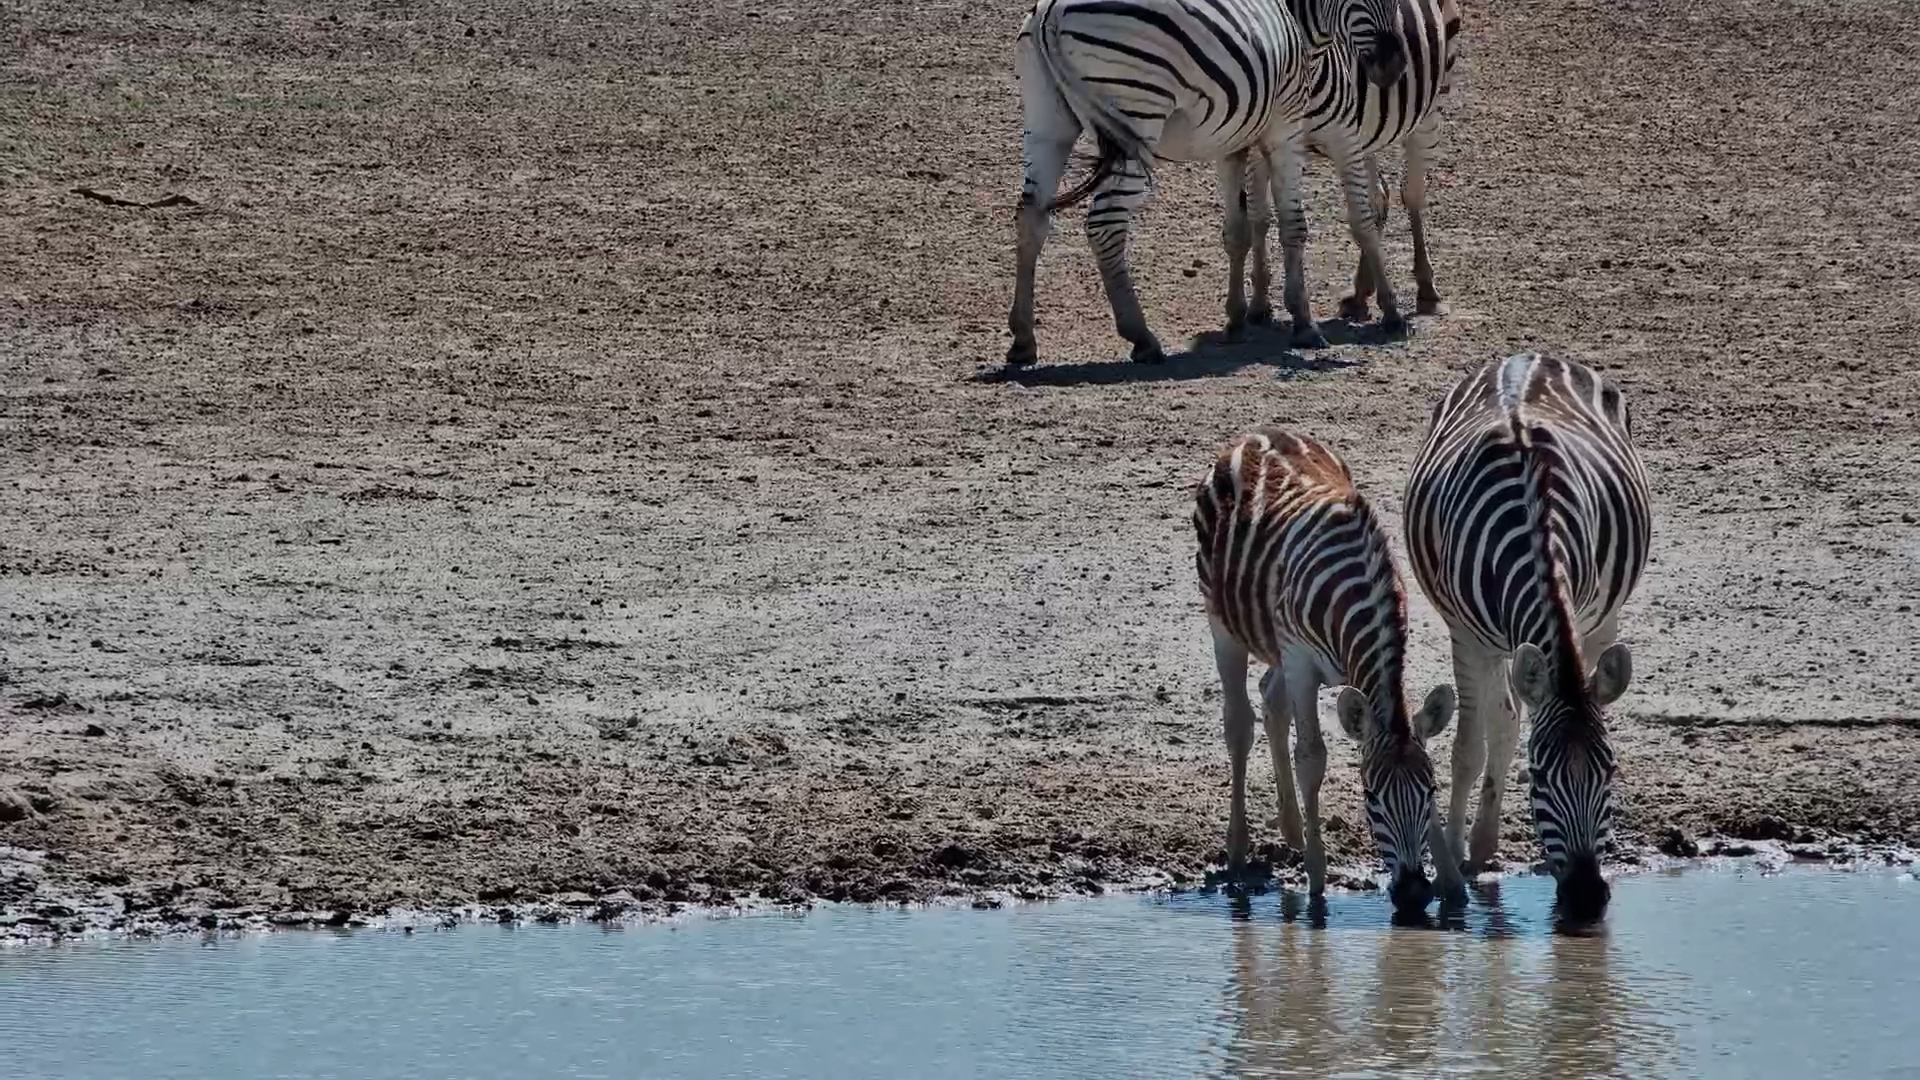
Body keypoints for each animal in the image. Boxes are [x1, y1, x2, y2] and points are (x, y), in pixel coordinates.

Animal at [1006, 0, 1411, 367]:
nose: (1394, 66)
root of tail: (1050, 13)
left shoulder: (1234, 141)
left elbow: (1238, 230)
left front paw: (1238, 319)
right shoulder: (1285, 128)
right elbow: (1294, 225)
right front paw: (1304, 324)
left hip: (1047, 124)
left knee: (1031, 217)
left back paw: (1023, 338)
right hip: (1136, 120)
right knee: (1104, 225)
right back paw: (1142, 337)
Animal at [1195, 427, 1459, 912]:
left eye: (1432, 792)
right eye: (1369, 797)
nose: (1414, 893)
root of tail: (1257, 435)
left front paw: (1453, 883)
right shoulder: (1300, 659)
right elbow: (1311, 756)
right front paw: (1316, 884)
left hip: (1275, 642)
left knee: (1271, 700)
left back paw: (1292, 830)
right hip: (1223, 622)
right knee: (1239, 722)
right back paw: (1239, 847)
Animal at [1402, 353, 1652, 921]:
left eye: (1611, 771)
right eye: (1538, 778)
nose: (1585, 899)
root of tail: (1527, 357)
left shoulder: (1590, 620)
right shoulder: (1466, 638)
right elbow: (1469, 748)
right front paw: (1451, 862)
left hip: (1597, 620)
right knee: (1505, 720)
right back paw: (1479, 844)